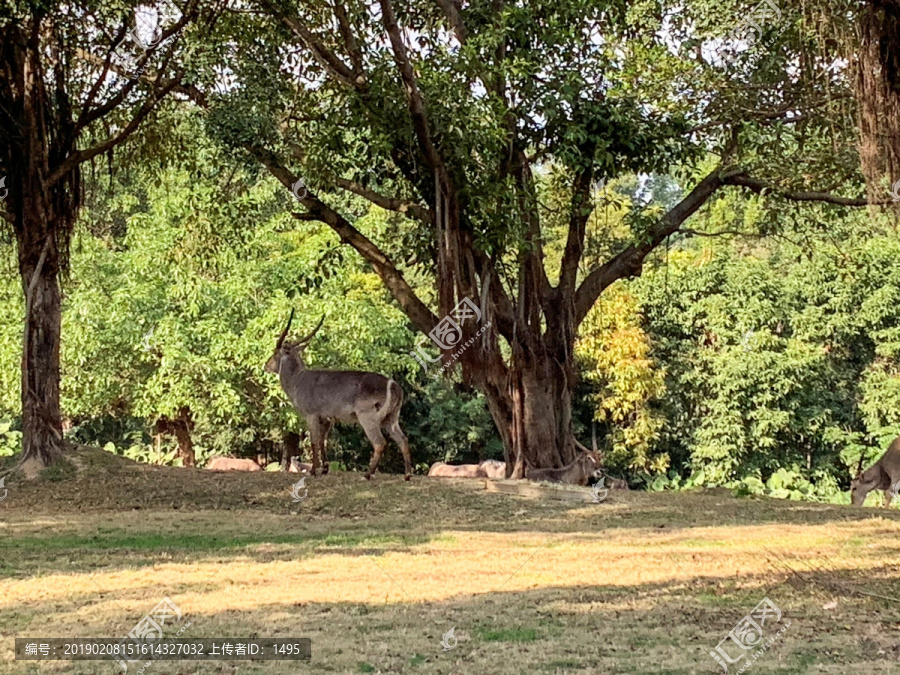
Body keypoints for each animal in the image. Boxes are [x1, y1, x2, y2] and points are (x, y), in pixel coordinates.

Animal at [264, 312, 412, 480]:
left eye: (275, 352)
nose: (266, 366)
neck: (298, 380)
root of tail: (393, 384)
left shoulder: (311, 415)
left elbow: (314, 441)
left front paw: (313, 471)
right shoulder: (327, 418)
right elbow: (323, 441)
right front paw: (325, 469)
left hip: (368, 417)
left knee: (380, 443)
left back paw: (367, 474)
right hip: (391, 418)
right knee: (403, 440)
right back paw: (407, 475)